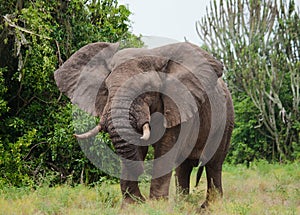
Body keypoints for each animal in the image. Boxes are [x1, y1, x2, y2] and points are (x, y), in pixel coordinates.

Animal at [54, 41, 234, 208]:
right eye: (106, 88)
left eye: (147, 88)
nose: (141, 169)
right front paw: (132, 205)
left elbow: (166, 148)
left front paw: (156, 205)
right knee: (184, 167)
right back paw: (183, 205)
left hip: (227, 120)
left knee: (214, 164)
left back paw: (209, 207)